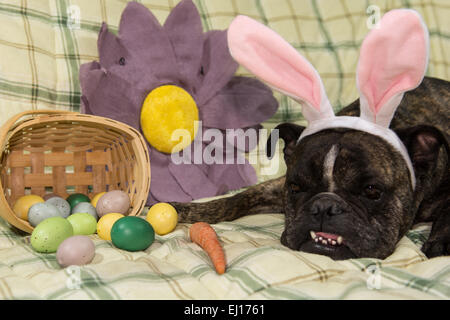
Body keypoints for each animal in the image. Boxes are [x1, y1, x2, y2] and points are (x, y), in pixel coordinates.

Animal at [171, 10, 448, 260]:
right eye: (295, 187)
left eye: (372, 191)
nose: (324, 206)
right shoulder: (275, 187)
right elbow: (238, 198)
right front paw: (187, 210)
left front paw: (440, 242)